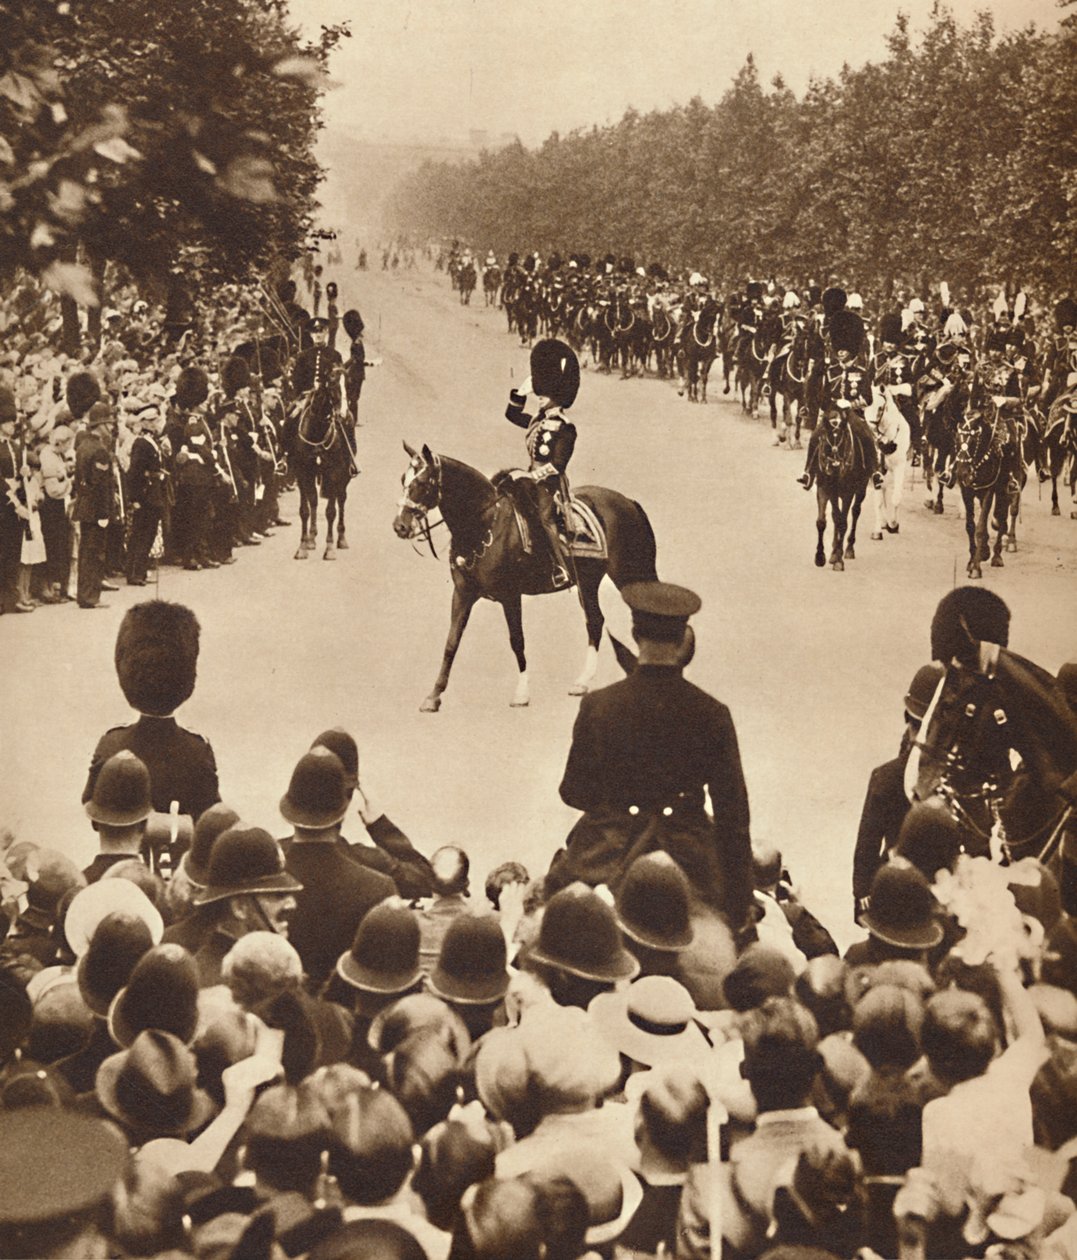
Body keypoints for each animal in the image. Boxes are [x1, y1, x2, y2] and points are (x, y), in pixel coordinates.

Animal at [282, 375, 352, 559]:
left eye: (348, 383)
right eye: (333, 384)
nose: (343, 415)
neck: (317, 432)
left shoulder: (334, 473)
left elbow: (331, 512)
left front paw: (330, 548)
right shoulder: (302, 473)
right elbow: (305, 510)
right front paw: (303, 546)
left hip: (344, 476)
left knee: (341, 500)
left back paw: (342, 539)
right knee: (313, 501)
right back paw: (312, 538)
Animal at [393, 446, 655, 710]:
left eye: (423, 482)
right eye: (403, 480)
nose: (400, 526)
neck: (485, 524)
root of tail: (628, 501)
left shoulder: (510, 596)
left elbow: (517, 640)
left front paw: (521, 694)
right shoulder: (462, 594)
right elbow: (451, 642)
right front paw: (433, 696)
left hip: (628, 574)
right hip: (588, 582)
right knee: (595, 621)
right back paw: (581, 683)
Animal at [866, 388, 911, 536]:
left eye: (881, 407)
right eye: (865, 407)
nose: (871, 432)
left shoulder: (899, 466)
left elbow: (896, 498)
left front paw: (894, 524)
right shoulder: (876, 469)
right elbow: (878, 501)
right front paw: (878, 530)